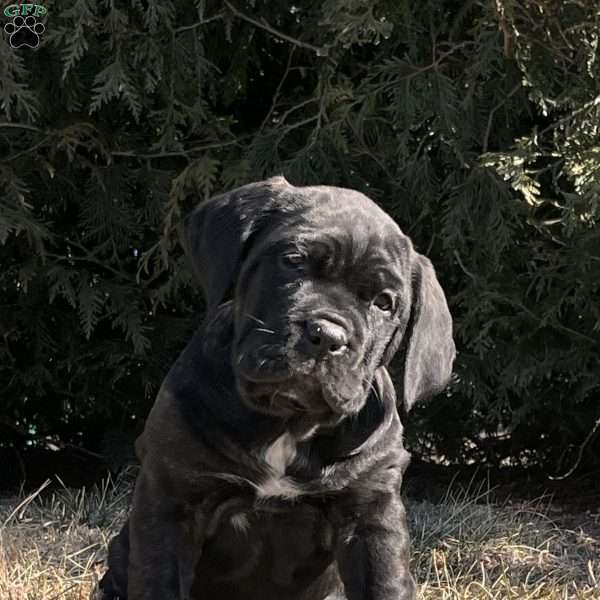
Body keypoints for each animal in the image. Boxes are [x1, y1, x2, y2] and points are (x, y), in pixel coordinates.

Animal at [99, 175, 454, 600]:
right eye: (293, 260)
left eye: (384, 303)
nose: (327, 335)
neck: (287, 421)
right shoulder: (172, 497)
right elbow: (159, 581)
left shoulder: (370, 513)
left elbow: (385, 585)